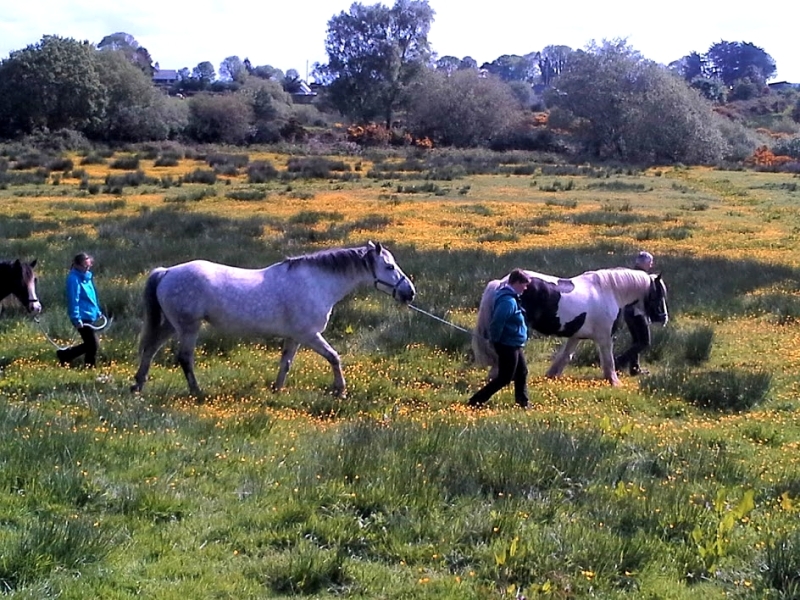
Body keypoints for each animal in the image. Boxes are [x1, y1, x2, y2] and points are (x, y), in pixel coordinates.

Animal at [476, 268, 668, 390]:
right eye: (658, 293)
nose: (663, 318)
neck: (610, 291)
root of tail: (500, 283)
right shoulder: (604, 338)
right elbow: (608, 361)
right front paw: (614, 382)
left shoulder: (575, 337)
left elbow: (564, 357)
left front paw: (551, 376)